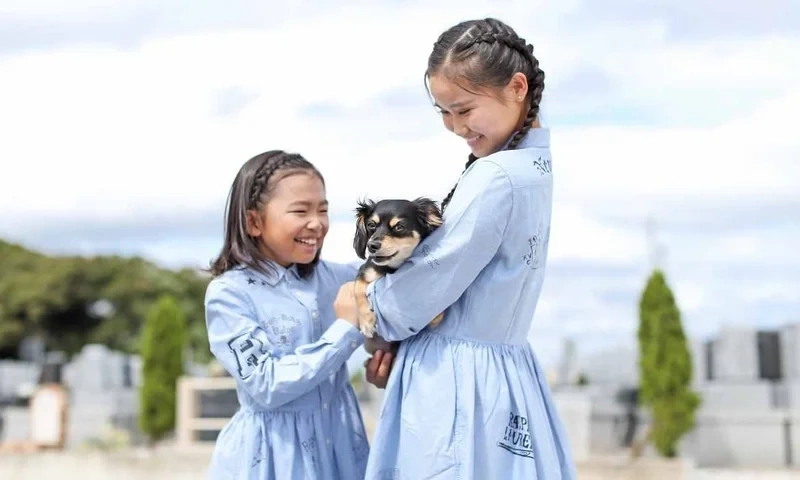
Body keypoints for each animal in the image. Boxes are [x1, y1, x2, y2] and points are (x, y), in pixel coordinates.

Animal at [354, 196, 446, 352]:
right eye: (371, 225)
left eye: (399, 227)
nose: (372, 246)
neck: (392, 267)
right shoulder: (364, 272)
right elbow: (358, 292)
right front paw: (366, 321)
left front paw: (436, 315)